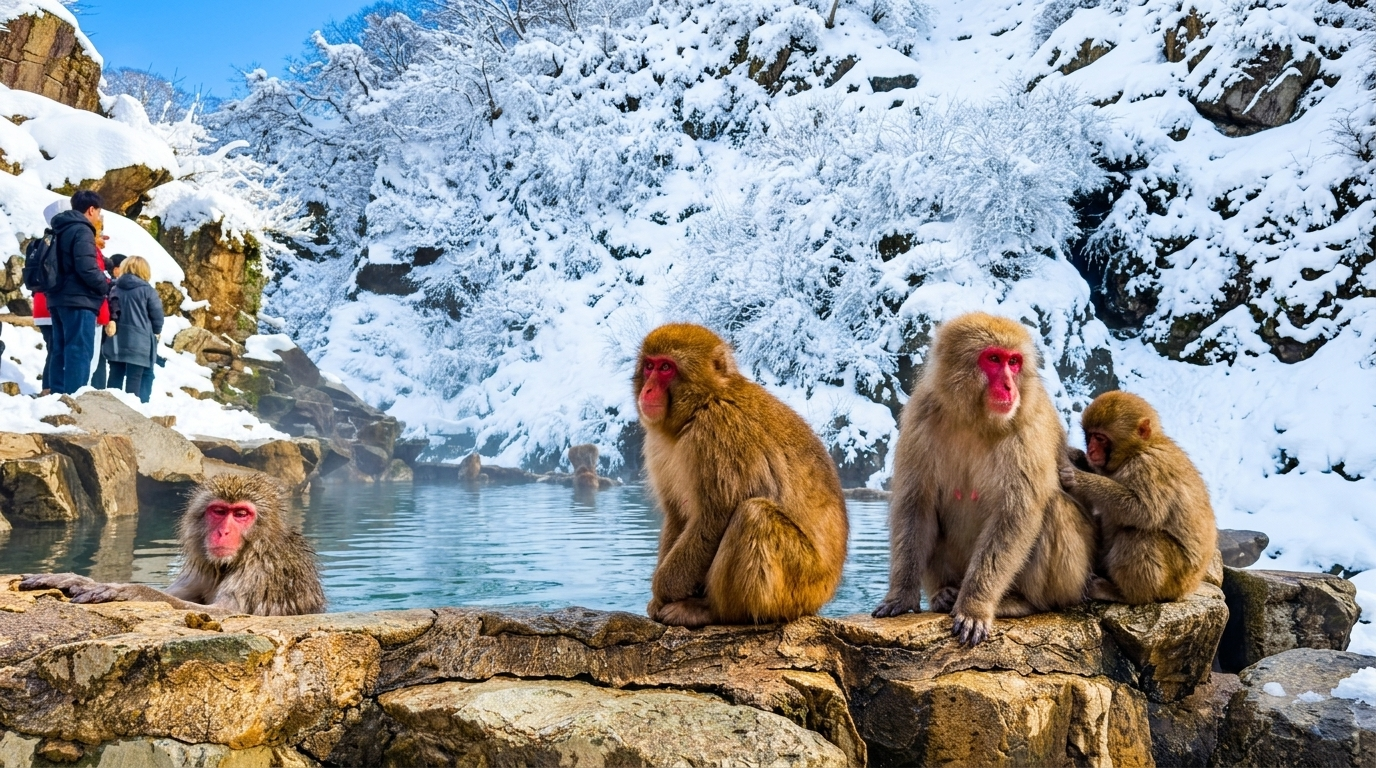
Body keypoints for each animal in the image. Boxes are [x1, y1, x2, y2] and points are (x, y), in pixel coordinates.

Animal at [21, 473, 325, 616]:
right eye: (219, 511)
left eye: (241, 514)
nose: (223, 532)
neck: (248, 552)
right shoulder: (206, 567)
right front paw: (76, 579)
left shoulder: (262, 574)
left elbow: (224, 614)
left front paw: (133, 591)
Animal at [635, 323, 849, 628]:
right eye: (649, 366)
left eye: (666, 367)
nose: (648, 389)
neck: (705, 402)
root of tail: (827, 590)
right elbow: (678, 513)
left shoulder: (717, 432)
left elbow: (714, 517)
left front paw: (664, 590)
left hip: (803, 584)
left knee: (754, 515)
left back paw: (712, 611)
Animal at [872, 312, 1096, 646]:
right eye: (993, 359)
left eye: (1014, 362)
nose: (1008, 386)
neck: (975, 420)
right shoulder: (920, 417)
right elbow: (916, 505)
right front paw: (901, 596)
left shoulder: (1027, 430)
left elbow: (1014, 515)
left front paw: (974, 607)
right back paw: (944, 594)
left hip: (1071, 583)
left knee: (1053, 507)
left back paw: (1018, 602)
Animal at [1059, 391, 1217, 604]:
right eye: (1090, 436)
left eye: (1100, 438)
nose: (1091, 450)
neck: (1139, 449)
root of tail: (1189, 587)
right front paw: (1078, 456)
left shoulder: (1148, 467)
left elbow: (1144, 511)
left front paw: (1079, 479)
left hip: (1174, 579)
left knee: (1138, 536)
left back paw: (1124, 594)